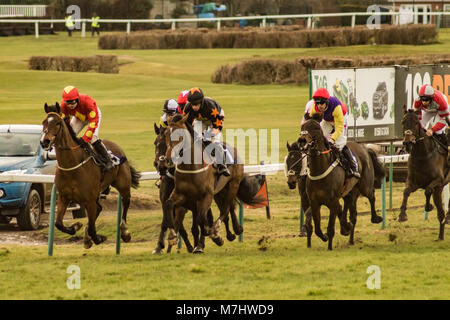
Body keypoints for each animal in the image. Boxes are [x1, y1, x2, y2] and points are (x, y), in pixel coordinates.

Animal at [39, 104, 140, 249]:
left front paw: (98, 238)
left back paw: (125, 232)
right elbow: (58, 223)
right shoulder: (64, 197)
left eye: (57, 123)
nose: (45, 141)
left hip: (123, 184)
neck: (72, 166)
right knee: (99, 209)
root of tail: (118, 148)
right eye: (44, 122)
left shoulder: (89, 200)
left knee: (126, 202)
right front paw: (75, 226)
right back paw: (87, 237)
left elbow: (93, 228)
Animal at [162, 114, 244, 246]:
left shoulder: (206, 195)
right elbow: (169, 204)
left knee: (225, 210)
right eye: (166, 134)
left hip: (233, 184)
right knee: (229, 207)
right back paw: (234, 231)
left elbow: (201, 218)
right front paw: (172, 235)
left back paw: (218, 230)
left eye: (180, 135)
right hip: (220, 190)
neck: (191, 167)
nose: (168, 160)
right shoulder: (181, 194)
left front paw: (213, 235)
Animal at [298, 112, 384, 250]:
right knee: (351, 213)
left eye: (315, 128)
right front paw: (324, 237)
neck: (320, 170)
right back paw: (349, 234)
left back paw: (375, 218)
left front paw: (329, 247)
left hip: (364, 185)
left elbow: (330, 227)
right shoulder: (315, 202)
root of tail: (364, 148)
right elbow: (317, 228)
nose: (301, 141)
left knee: (371, 195)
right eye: (303, 127)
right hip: (349, 192)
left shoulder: (333, 202)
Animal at [400, 107, 450, 240]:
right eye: (403, 122)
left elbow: (427, 190)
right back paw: (440, 236)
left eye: (416, 123)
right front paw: (402, 215)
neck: (422, 155)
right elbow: (406, 192)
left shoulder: (438, 180)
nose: (407, 143)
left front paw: (428, 206)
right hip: (439, 190)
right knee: (440, 213)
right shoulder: (413, 182)